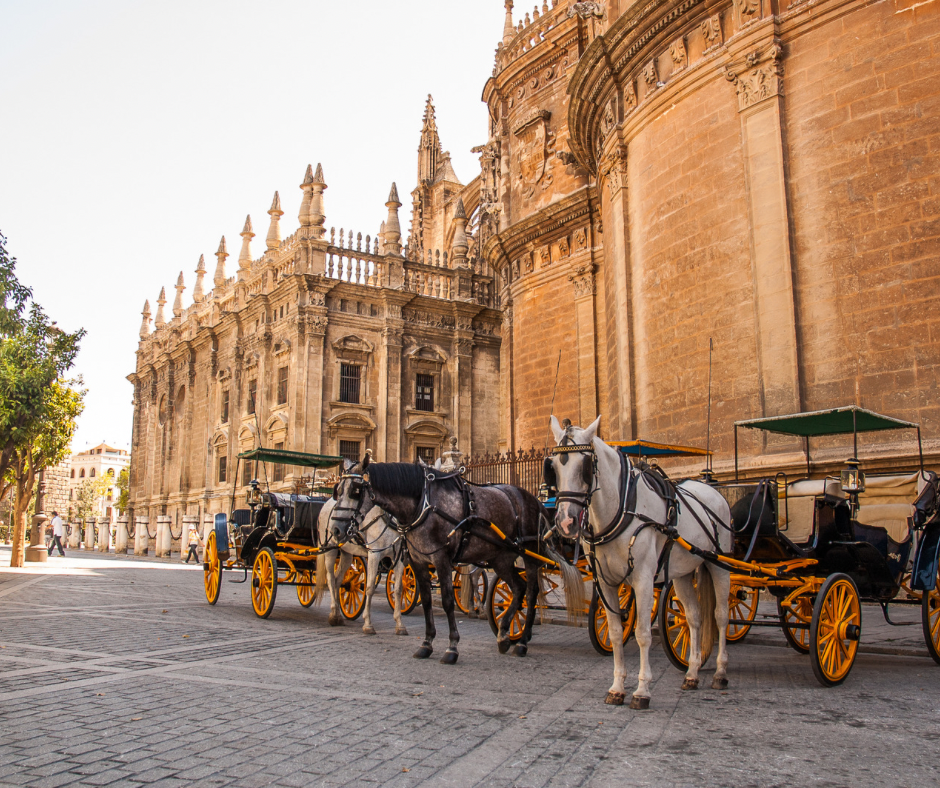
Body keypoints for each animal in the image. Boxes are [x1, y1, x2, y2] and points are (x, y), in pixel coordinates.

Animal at [314, 502, 410, 636]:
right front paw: (368, 624)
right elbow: (369, 588)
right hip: (329, 547)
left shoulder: (399, 556)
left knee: (337, 580)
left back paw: (337, 614)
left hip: (346, 553)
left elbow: (398, 589)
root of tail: (327, 504)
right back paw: (333, 615)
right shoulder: (374, 553)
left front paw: (400, 624)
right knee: (330, 579)